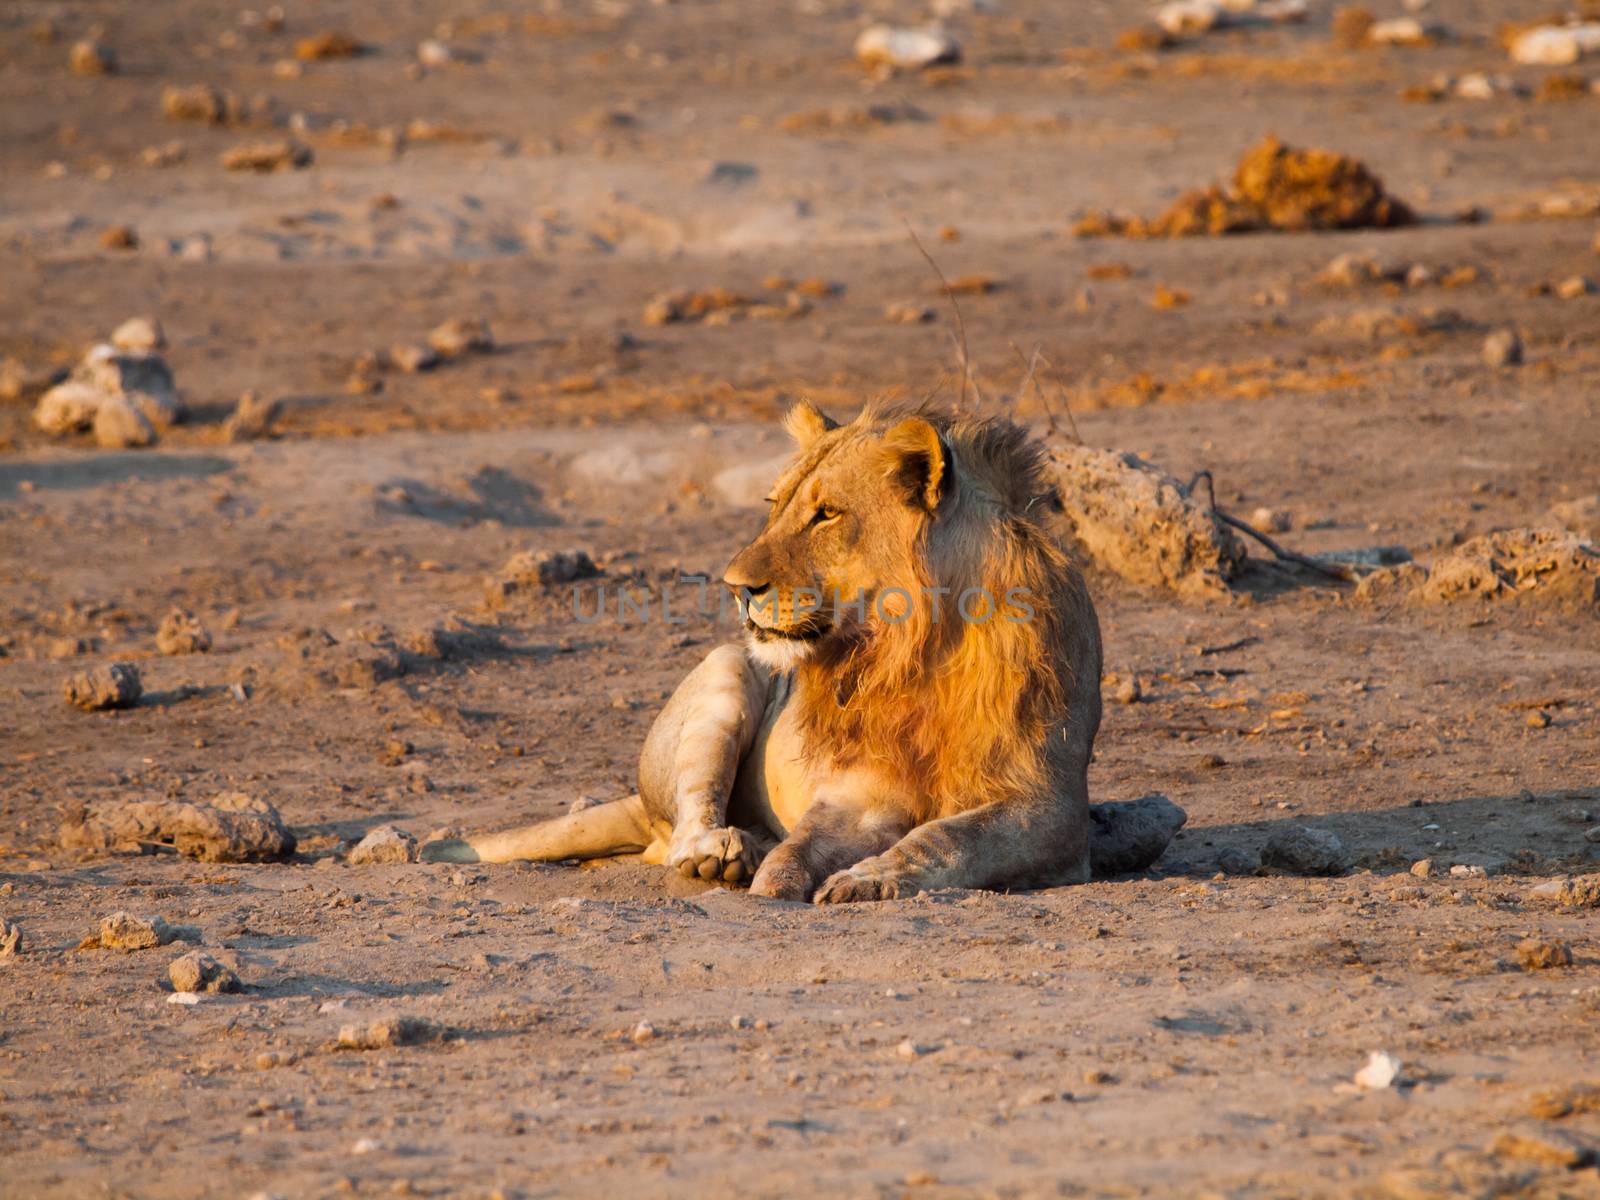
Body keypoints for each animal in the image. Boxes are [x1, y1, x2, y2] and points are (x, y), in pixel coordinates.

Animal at [419, 404, 1184, 902]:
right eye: (776, 504)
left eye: (826, 514)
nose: (735, 586)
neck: (914, 649)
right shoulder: (858, 792)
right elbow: (805, 842)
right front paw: (775, 878)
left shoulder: (1047, 806)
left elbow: (950, 839)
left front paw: (870, 877)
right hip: (727, 672)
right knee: (684, 824)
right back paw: (724, 854)